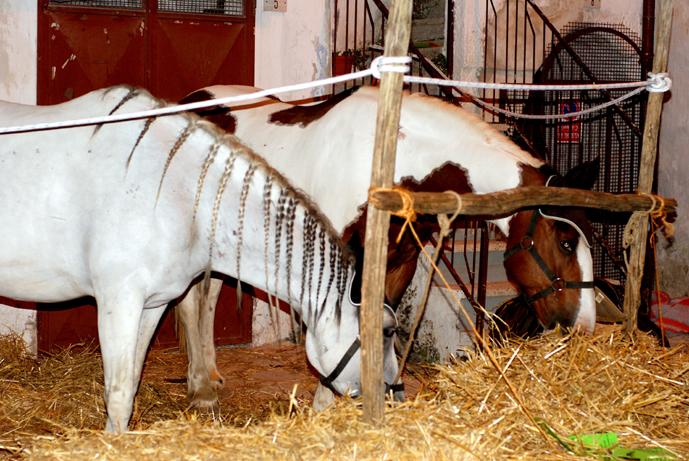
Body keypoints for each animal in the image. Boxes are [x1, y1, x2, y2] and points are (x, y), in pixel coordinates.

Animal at [0, 86, 398, 432]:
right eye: (387, 331)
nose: (394, 393)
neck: (174, 192)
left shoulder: (152, 304)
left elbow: (130, 383)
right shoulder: (118, 302)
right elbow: (117, 394)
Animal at [176, 84, 596, 408]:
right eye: (566, 242)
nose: (583, 328)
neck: (392, 163)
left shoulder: (399, 263)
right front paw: (326, 403)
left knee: (206, 299)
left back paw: (209, 375)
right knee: (191, 302)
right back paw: (200, 389)